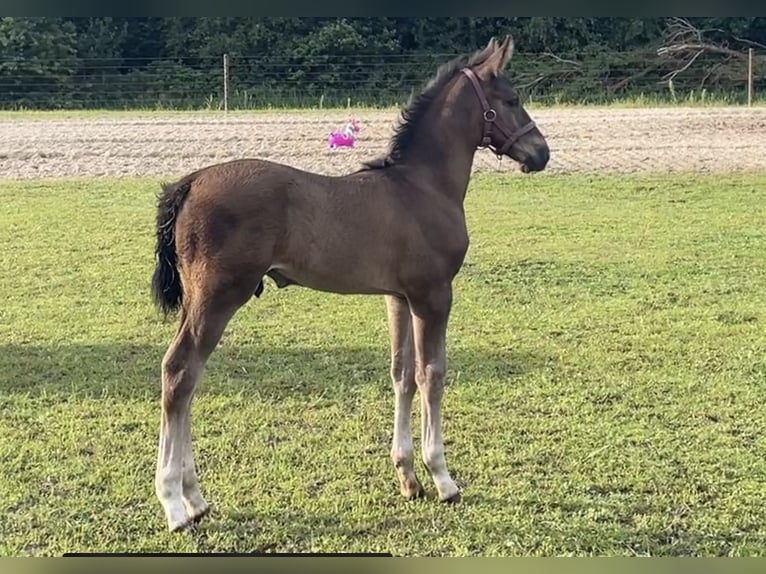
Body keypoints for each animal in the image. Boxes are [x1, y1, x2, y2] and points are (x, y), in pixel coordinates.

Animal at [153, 36, 548, 532]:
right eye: (511, 100)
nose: (541, 153)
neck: (422, 186)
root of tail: (190, 181)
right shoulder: (433, 295)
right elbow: (432, 374)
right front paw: (442, 478)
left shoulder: (399, 298)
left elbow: (402, 374)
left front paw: (408, 478)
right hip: (217, 298)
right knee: (179, 372)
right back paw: (174, 504)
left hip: (199, 301)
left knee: (188, 379)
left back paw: (195, 499)